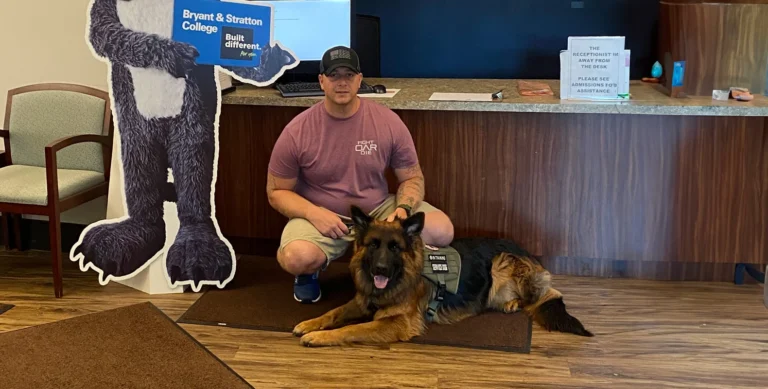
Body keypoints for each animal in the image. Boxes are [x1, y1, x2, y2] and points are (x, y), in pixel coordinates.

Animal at [292, 206, 592, 346]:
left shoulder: (397, 323)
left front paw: (319, 337)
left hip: (500, 262)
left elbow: (353, 329)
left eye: (395, 248)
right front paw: (310, 323)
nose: (380, 269)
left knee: (537, 298)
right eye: (374, 245)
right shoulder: (362, 301)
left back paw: (511, 303)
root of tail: (528, 252)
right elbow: (333, 313)